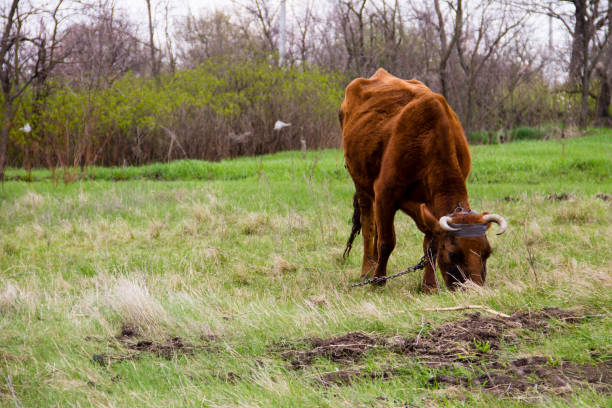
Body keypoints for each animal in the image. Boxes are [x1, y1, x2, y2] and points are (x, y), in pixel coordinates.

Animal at [340, 67, 506, 290]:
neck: (429, 139)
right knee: (369, 226)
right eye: (453, 254)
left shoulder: (429, 206)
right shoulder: (385, 194)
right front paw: (378, 281)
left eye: (487, 252)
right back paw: (368, 270)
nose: (475, 289)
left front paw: (429, 285)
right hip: (361, 184)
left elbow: (431, 244)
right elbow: (387, 241)